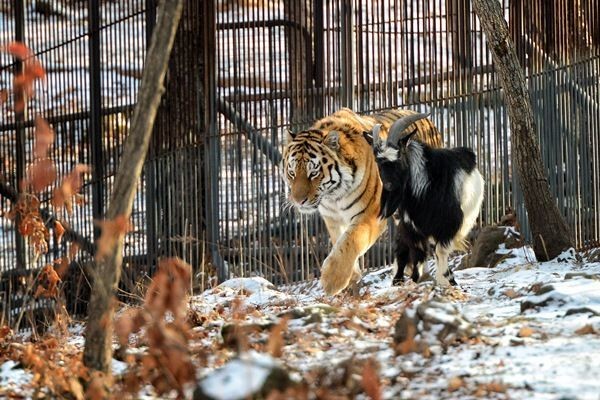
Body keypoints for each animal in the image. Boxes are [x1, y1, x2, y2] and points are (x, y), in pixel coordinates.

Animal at [280, 108, 440, 296]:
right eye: (292, 173)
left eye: (313, 173)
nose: (298, 201)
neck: (333, 195)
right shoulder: (332, 219)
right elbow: (339, 242)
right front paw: (352, 278)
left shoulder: (370, 215)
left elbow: (351, 241)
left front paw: (332, 280)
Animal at [366, 113, 488, 288]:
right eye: (378, 162)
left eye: (399, 157)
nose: (389, 186)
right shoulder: (411, 227)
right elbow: (415, 253)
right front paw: (415, 280)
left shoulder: (447, 226)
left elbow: (439, 252)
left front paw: (447, 280)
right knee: (402, 250)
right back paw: (397, 280)